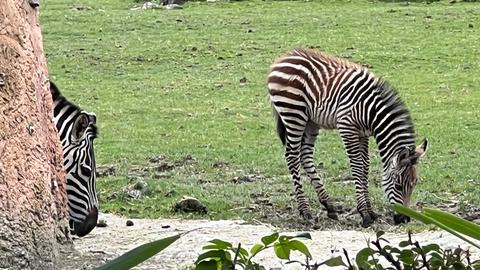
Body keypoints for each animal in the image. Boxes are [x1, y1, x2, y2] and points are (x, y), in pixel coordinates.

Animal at [268, 49, 430, 228]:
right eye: (398, 185)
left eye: (414, 184)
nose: (404, 220)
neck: (371, 111)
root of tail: (284, 56)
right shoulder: (347, 128)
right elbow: (357, 166)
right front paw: (364, 214)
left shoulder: (363, 133)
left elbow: (365, 167)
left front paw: (371, 212)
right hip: (293, 113)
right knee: (292, 156)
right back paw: (305, 211)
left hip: (311, 121)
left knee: (305, 155)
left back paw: (329, 205)